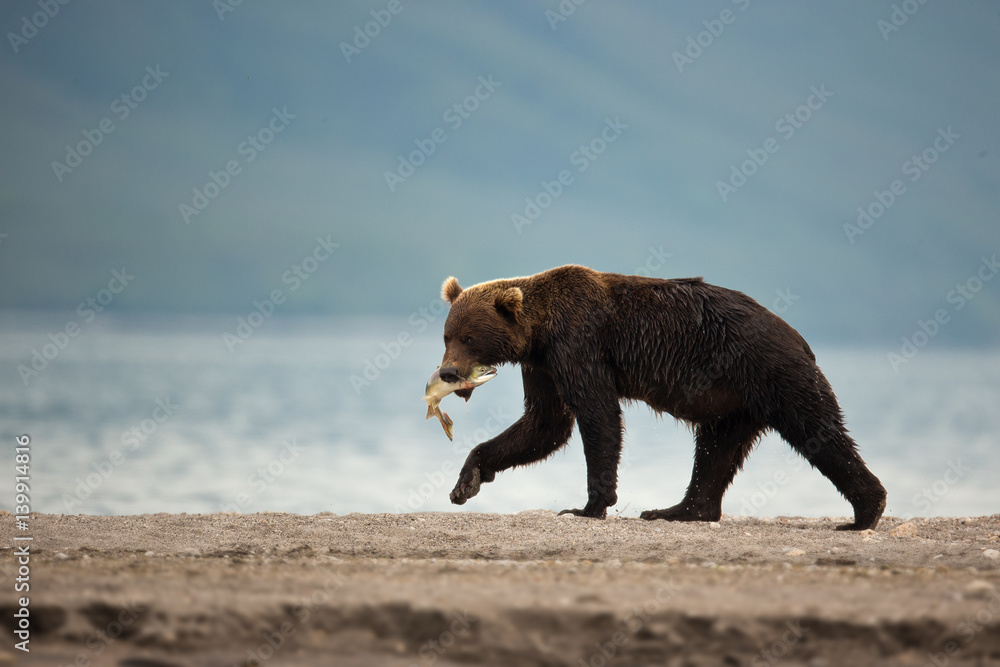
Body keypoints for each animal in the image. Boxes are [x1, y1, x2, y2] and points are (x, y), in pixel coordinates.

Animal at [436, 264, 887, 531]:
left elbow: (596, 415)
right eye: (447, 335)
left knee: (817, 430)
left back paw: (865, 510)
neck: (540, 331)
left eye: (469, 337)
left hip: (770, 371)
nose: (448, 373)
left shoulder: (578, 345)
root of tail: (800, 338)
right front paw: (466, 481)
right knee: (715, 451)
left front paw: (588, 505)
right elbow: (543, 424)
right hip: (733, 404)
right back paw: (676, 510)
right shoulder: (543, 366)